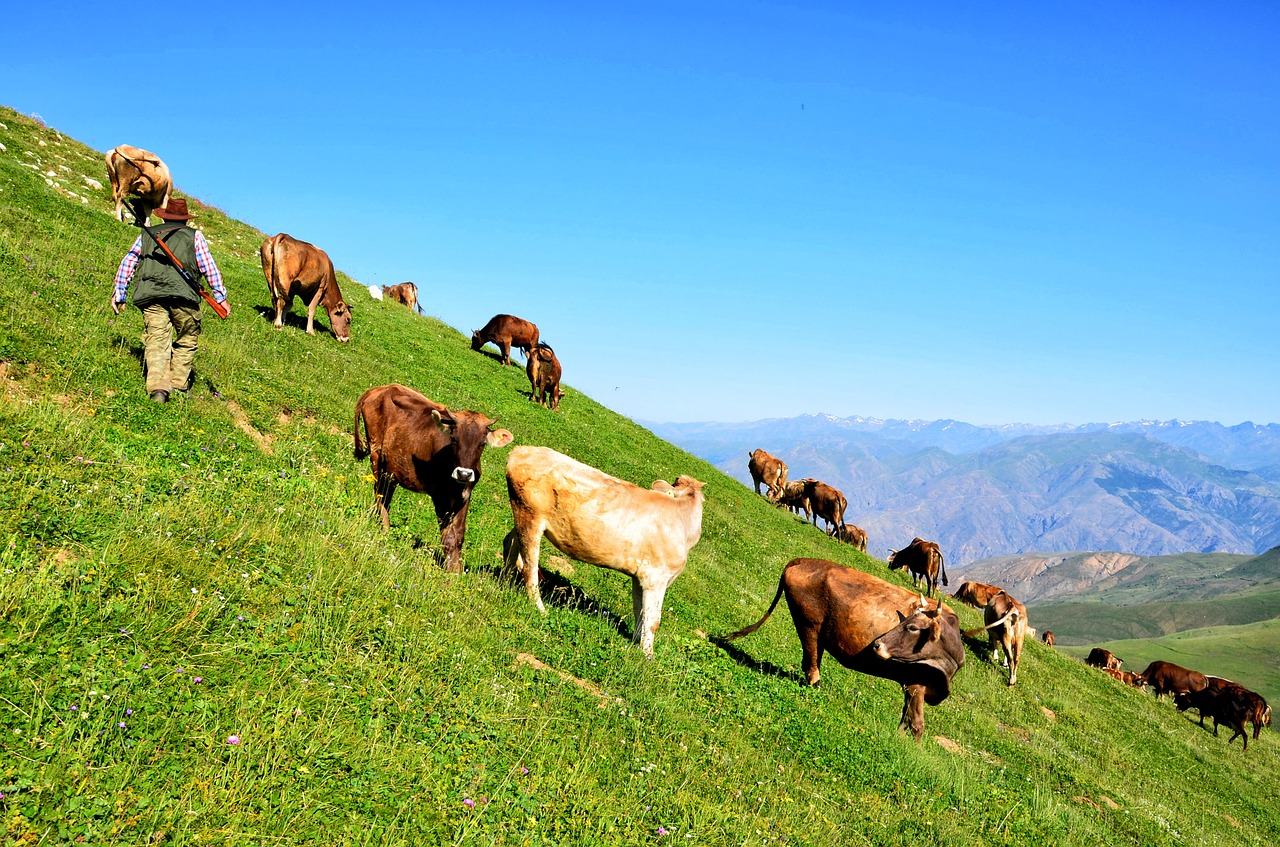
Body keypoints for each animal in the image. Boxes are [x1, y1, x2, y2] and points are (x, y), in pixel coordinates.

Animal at [353, 386, 512, 573]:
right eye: (454, 439)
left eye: (482, 443)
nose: (464, 473)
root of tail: (379, 388)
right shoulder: (440, 495)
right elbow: (448, 536)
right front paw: (450, 572)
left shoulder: (465, 494)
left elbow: (458, 534)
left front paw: (457, 570)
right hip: (376, 455)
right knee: (381, 495)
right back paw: (385, 532)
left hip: (390, 468)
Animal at [499, 447, 706, 660]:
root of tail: (522, 450)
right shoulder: (656, 576)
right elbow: (653, 620)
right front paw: (647, 655)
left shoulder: (640, 575)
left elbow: (639, 611)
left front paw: (635, 643)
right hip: (530, 515)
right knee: (530, 567)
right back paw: (540, 609)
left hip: (522, 515)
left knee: (510, 543)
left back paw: (506, 583)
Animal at [727, 560, 962, 742]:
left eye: (912, 627)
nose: (877, 644)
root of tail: (803, 560)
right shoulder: (916, 683)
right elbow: (916, 724)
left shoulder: (910, 684)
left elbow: (905, 720)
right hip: (809, 625)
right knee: (811, 664)